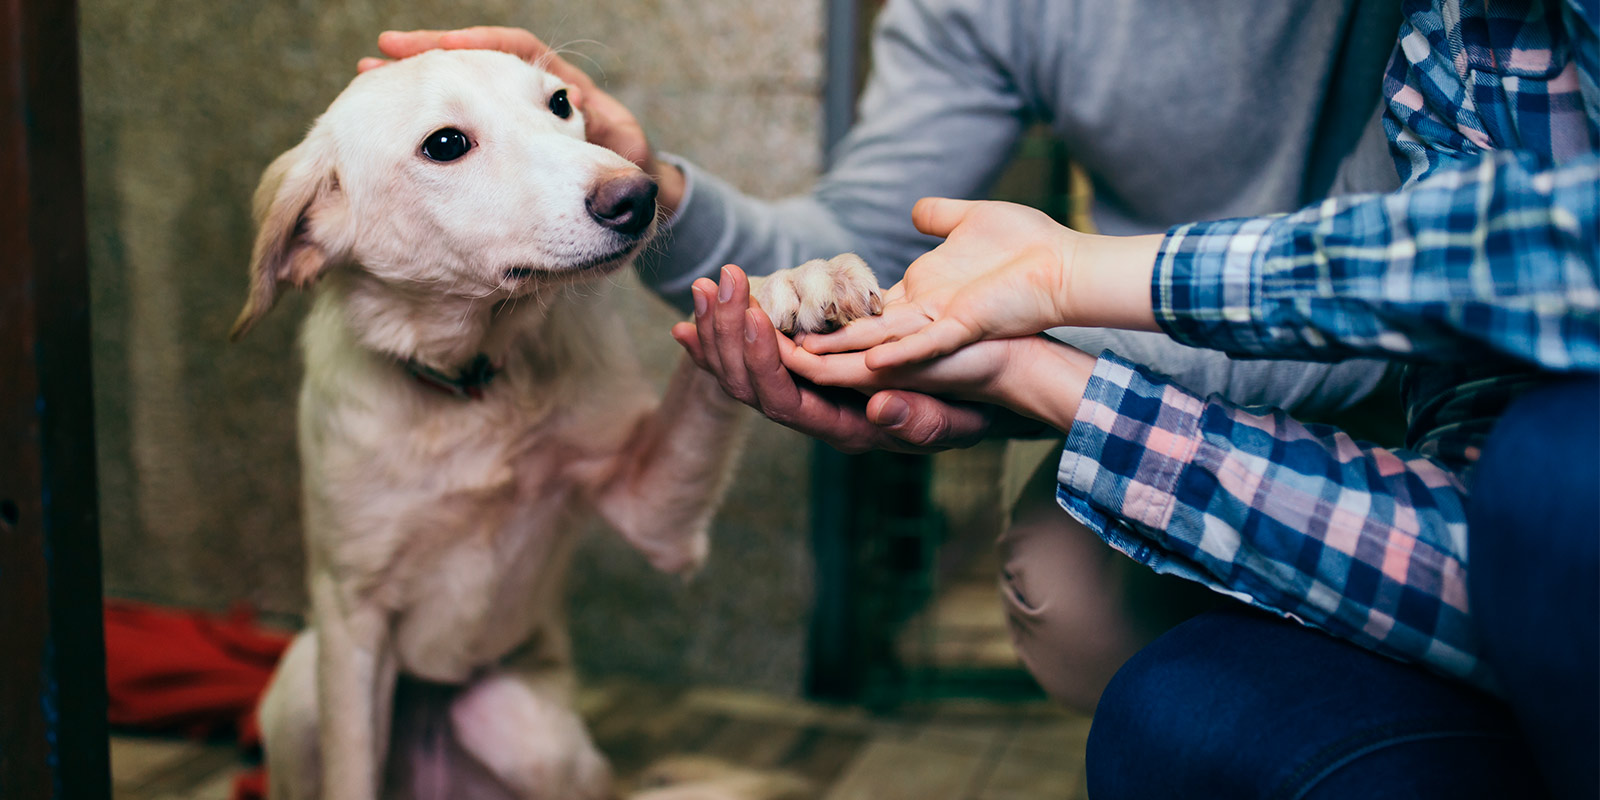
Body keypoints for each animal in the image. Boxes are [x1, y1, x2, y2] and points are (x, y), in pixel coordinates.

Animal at [235, 50, 883, 800]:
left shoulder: (652, 513)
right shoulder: (352, 616)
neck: (473, 385)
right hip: (301, 687)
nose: (638, 195)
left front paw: (789, 283)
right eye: (445, 144)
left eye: (561, 103)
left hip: (526, 731)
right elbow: (350, 770)